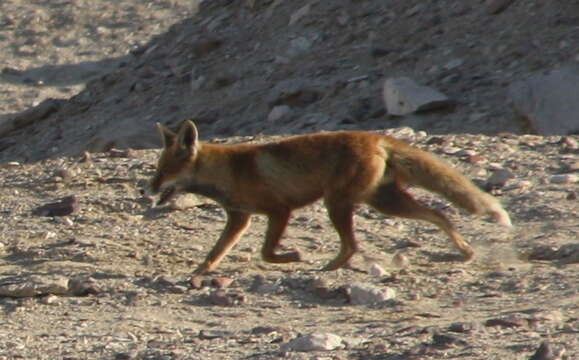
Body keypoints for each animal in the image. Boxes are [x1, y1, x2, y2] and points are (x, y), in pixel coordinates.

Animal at [142, 119, 512, 274]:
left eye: (163, 171)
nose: (147, 189)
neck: (227, 171)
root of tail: (375, 137)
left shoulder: (279, 210)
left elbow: (266, 253)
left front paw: (292, 256)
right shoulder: (240, 217)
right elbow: (215, 253)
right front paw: (198, 274)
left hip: (338, 204)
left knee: (352, 246)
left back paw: (326, 267)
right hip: (383, 202)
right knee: (440, 215)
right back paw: (465, 251)